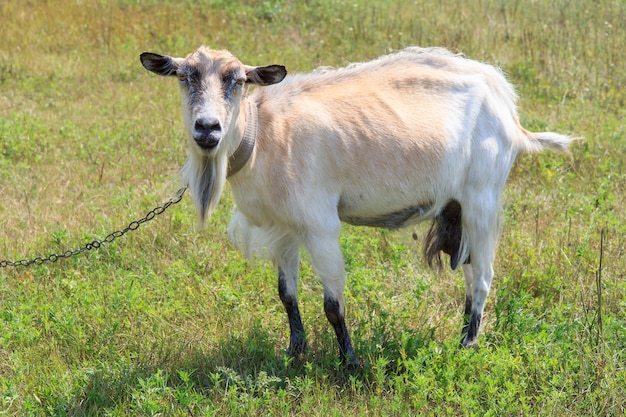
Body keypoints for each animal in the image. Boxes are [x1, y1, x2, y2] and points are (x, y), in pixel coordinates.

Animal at [140, 46, 572, 368]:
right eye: (184, 77)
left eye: (239, 80)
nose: (206, 128)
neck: (263, 134)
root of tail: (509, 110)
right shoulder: (282, 228)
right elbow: (286, 295)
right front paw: (294, 354)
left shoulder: (320, 225)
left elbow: (333, 304)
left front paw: (351, 363)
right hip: (459, 210)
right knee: (468, 272)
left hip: (482, 197)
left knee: (482, 277)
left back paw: (465, 345)